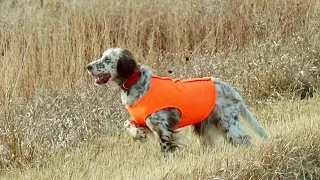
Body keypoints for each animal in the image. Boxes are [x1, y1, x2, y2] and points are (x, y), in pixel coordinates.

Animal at [86, 47, 268, 155]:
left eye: (107, 59)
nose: (88, 66)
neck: (136, 82)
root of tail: (230, 88)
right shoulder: (144, 121)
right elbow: (127, 124)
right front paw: (138, 135)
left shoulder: (162, 129)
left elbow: (166, 149)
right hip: (205, 127)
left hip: (228, 124)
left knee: (244, 139)